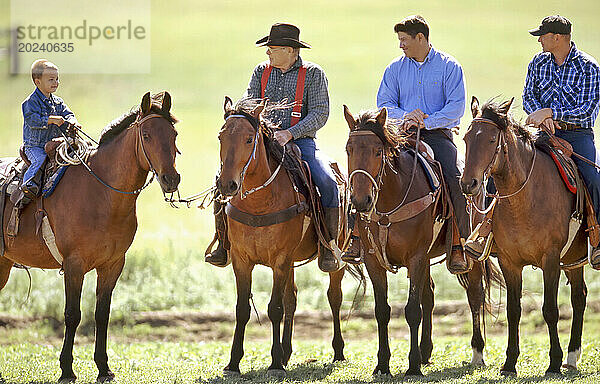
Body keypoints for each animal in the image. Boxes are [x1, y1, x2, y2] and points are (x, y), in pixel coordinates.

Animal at [0, 91, 180, 382]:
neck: (101, 193)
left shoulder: (113, 264)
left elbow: (102, 313)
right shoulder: (74, 265)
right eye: (147, 135)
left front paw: (104, 367)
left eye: (173, 134)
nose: (171, 179)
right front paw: (66, 369)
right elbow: (73, 314)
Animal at [216, 97, 356, 376]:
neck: (260, 203)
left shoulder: (280, 260)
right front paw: (234, 362)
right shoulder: (241, 260)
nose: (227, 184)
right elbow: (242, 309)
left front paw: (275, 363)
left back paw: (337, 352)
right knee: (292, 297)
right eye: (221, 137)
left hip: (334, 259)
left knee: (334, 297)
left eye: (249, 139)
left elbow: (275, 308)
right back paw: (287, 352)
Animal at [342, 106, 502, 376]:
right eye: (348, 149)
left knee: (475, 294)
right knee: (430, 296)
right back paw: (427, 351)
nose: (361, 200)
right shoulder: (374, 261)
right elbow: (382, 310)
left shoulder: (416, 257)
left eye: (377, 151)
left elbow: (412, 310)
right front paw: (382, 365)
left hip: (470, 256)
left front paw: (413, 366)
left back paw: (477, 352)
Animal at [462, 97, 588, 376]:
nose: (468, 184)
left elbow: (550, 310)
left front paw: (553, 363)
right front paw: (509, 363)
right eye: (466, 138)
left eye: (491, 140)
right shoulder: (509, 262)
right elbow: (513, 311)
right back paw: (573, 356)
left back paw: (569, 357)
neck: (525, 199)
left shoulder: (550, 259)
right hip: (573, 260)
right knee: (580, 296)